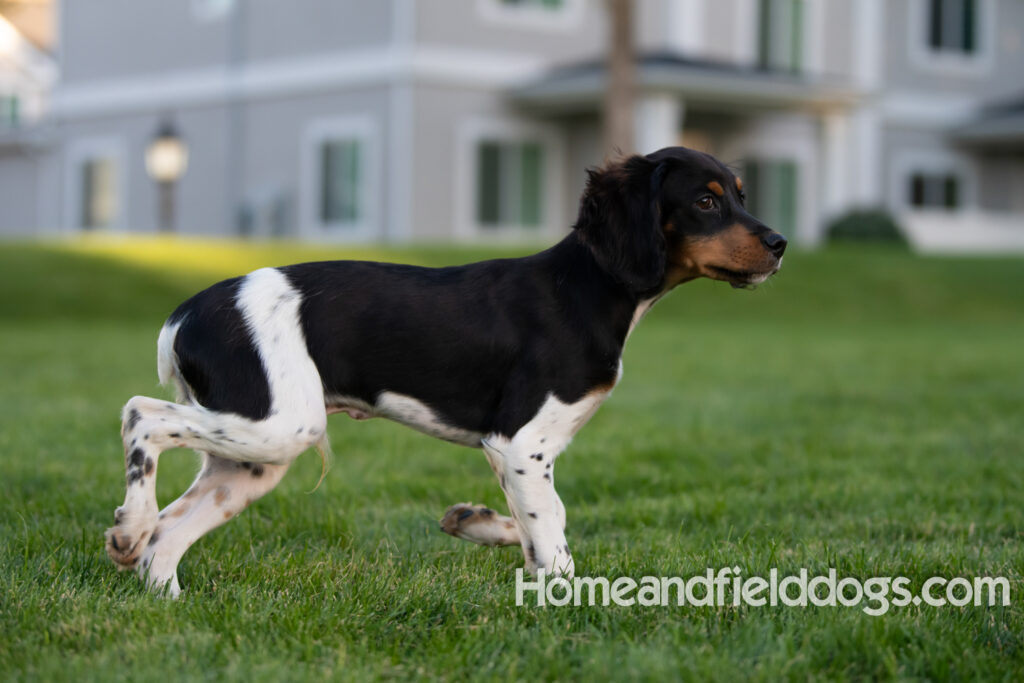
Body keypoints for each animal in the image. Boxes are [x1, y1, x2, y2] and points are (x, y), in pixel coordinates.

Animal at [103, 147, 782, 593]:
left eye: (741, 194)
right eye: (705, 201)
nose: (778, 245)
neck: (585, 289)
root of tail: (185, 312)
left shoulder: (516, 452)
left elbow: (543, 522)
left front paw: (478, 524)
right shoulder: (520, 441)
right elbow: (553, 533)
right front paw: (566, 597)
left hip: (253, 457)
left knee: (166, 540)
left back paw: (159, 586)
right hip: (279, 423)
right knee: (141, 415)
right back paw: (129, 526)